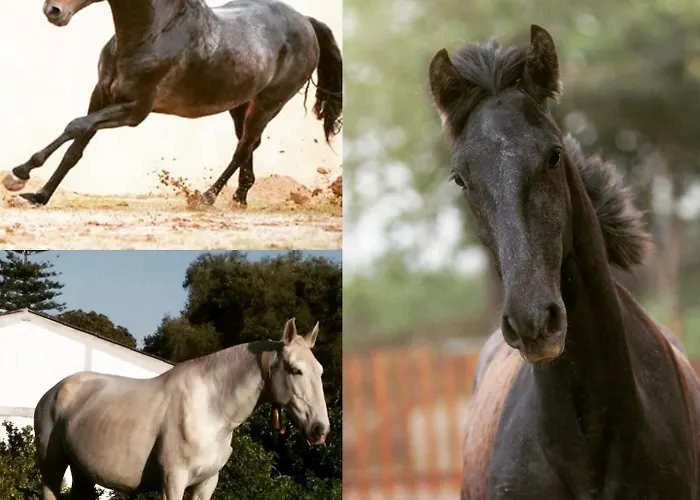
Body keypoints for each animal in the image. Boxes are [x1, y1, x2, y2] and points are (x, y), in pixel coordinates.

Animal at [2, 0, 342, 207]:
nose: (53, 10)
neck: (153, 34)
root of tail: (306, 22)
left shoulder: (135, 110)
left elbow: (75, 126)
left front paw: (19, 173)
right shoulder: (100, 95)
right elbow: (76, 147)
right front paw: (39, 195)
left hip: (268, 104)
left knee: (243, 147)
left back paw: (207, 197)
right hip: (240, 104)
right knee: (249, 145)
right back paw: (240, 198)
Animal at [33, 318, 330, 500]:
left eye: (320, 370)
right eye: (295, 370)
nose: (320, 429)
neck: (211, 409)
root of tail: (53, 392)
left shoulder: (205, 484)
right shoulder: (173, 481)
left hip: (82, 471)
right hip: (52, 467)